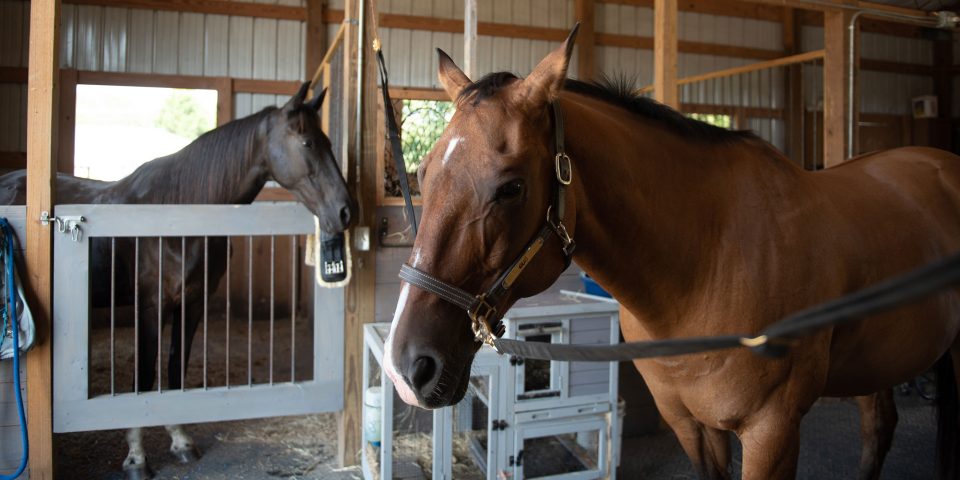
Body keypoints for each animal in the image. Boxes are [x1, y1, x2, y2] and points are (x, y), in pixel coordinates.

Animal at [382, 31, 960, 480]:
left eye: (511, 187)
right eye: (423, 174)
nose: (408, 369)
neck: (705, 266)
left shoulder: (773, 431)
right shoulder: (691, 426)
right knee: (878, 428)